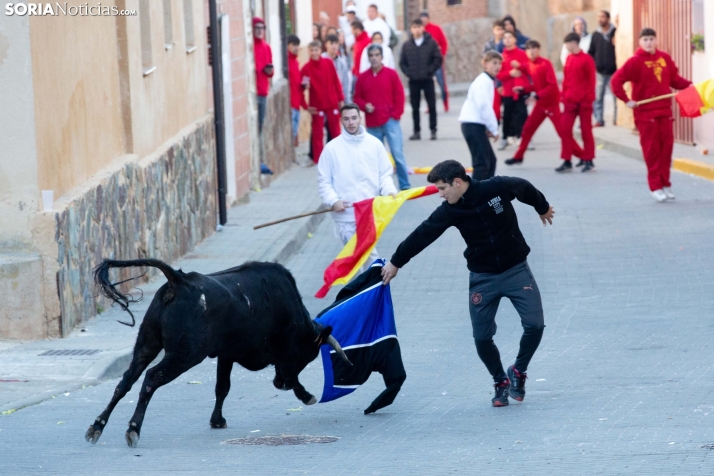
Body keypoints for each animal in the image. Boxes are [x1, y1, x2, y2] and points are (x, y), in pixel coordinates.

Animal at [85, 258, 350, 448]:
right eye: (308, 355)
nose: (279, 385)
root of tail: (179, 280)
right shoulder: (282, 354)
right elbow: (292, 375)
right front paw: (307, 396)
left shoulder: (226, 354)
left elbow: (222, 387)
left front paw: (217, 420)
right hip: (184, 355)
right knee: (151, 378)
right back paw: (133, 429)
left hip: (147, 343)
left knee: (126, 380)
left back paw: (97, 426)